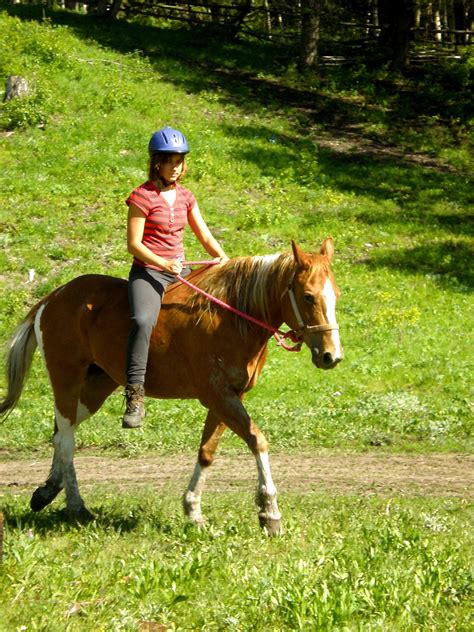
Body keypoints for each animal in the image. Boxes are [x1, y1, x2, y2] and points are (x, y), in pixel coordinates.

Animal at [0, 239, 340, 536]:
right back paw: (76, 505)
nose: (331, 355)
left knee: (60, 432)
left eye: (335, 294)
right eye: (308, 296)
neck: (231, 318)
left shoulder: (228, 398)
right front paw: (269, 512)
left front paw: (193, 509)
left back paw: (48, 490)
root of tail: (52, 298)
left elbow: (207, 451)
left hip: (96, 386)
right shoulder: (218, 396)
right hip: (66, 377)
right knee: (67, 439)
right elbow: (258, 440)